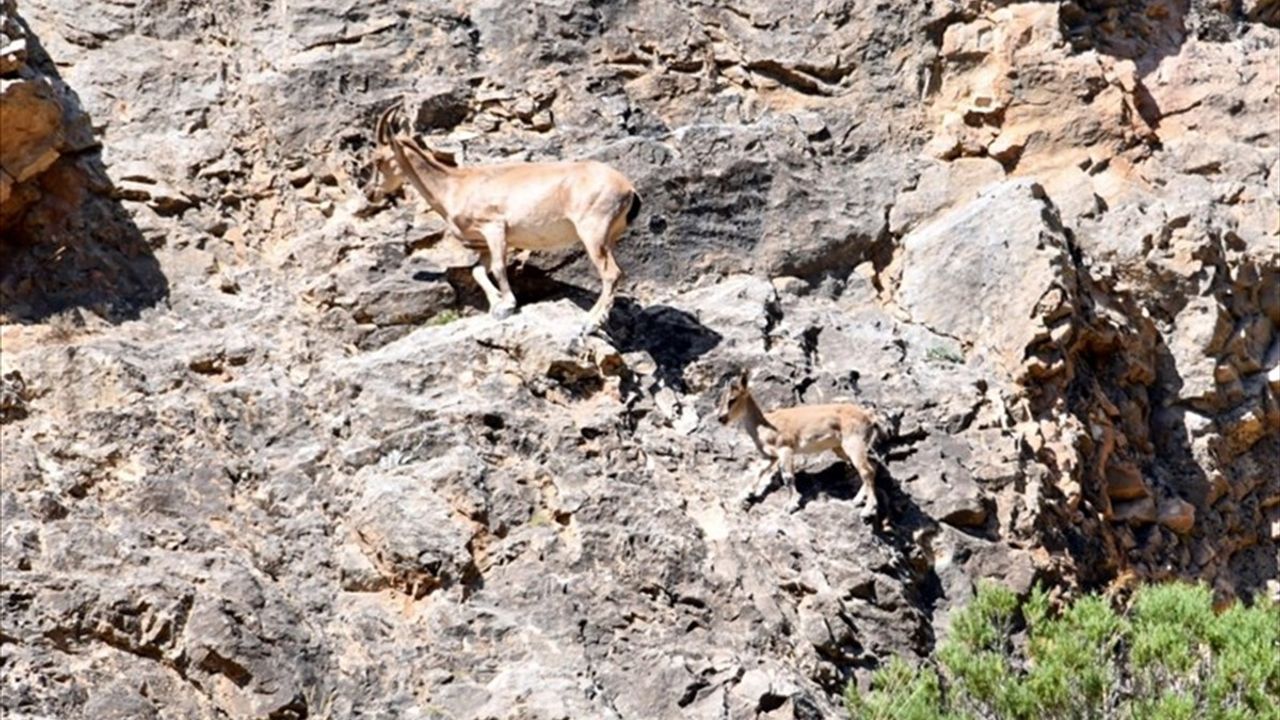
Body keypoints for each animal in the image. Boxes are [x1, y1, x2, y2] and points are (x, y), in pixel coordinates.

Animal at [363, 101, 640, 330]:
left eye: (378, 159)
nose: (369, 193)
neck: (455, 185)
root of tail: (628, 189)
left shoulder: (494, 227)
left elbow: (497, 267)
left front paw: (507, 305)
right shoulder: (484, 241)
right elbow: (478, 271)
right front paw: (496, 304)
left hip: (593, 232)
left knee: (612, 273)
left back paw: (592, 321)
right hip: (607, 237)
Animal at [716, 368, 885, 515]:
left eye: (732, 399)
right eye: (721, 399)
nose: (721, 418)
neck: (764, 425)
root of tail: (869, 416)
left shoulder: (785, 449)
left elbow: (788, 477)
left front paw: (791, 505)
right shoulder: (770, 456)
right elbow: (759, 471)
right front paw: (746, 494)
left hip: (854, 443)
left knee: (867, 470)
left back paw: (868, 510)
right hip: (841, 448)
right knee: (872, 465)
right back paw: (857, 500)